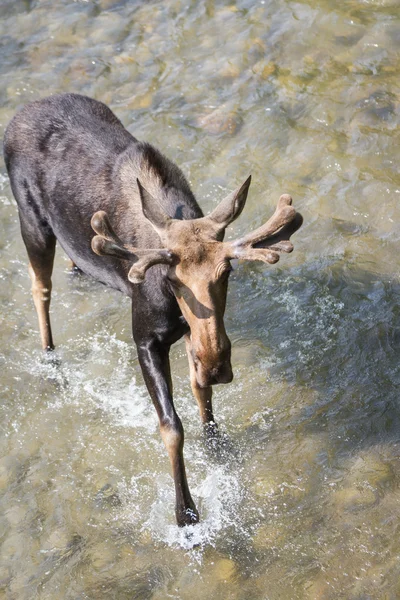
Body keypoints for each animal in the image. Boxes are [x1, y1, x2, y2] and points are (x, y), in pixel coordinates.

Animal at [3, 94, 304, 524]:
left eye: (227, 271)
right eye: (174, 280)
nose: (218, 365)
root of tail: (22, 112)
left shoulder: (193, 336)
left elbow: (200, 395)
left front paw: (217, 447)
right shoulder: (145, 340)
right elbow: (171, 427)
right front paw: (185, 513)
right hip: (31, 221)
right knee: (40, 289)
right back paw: (49, 357)